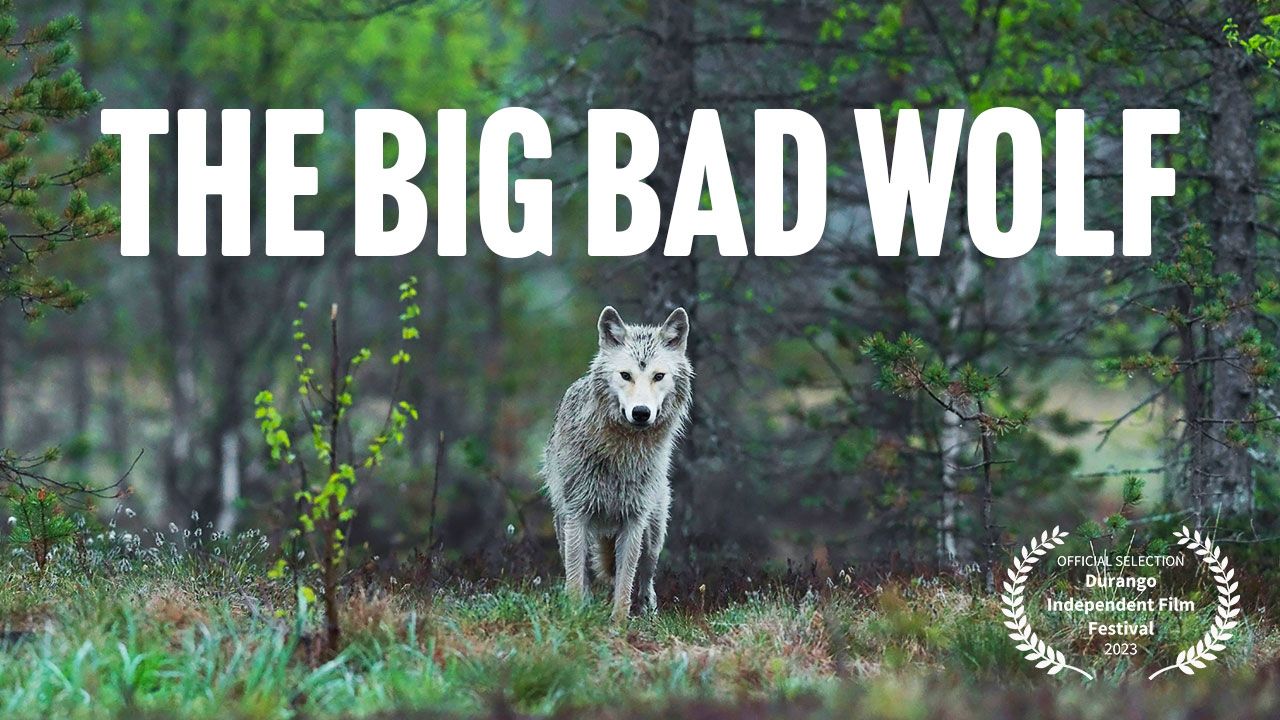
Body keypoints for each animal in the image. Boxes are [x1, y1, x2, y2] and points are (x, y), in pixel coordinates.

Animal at [542, 305, 693, 622]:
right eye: (626, 375)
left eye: (658, 376)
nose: (641, 412)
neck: (621, 454)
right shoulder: (577, 515)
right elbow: (576, 580)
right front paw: (575, 618)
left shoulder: (634, 520)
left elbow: (624, 584)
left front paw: (619, 624)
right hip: (564, 525)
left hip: (653, 535)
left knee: (645, 578)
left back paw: (648, 613)